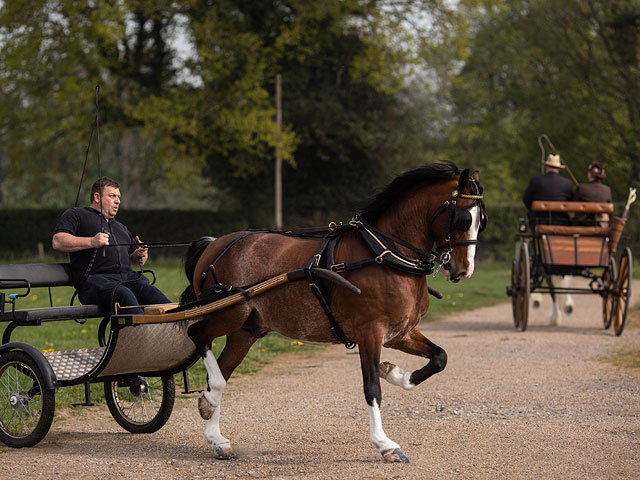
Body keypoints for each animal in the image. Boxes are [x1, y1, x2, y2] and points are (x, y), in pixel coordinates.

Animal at [182, 163, 488, 464]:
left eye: (481, 221)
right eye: (462, 219)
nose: (463, 270)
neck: (385, 255)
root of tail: (214, 244)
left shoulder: (400, 333)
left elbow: (439, 358)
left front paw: (392, 372)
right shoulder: (370, 332)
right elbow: (372, 388)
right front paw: (385, 444)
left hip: (246, 331)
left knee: (221, 369)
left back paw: (216, 436)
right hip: (229, 314)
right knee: (198, 336)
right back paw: (210, 403)